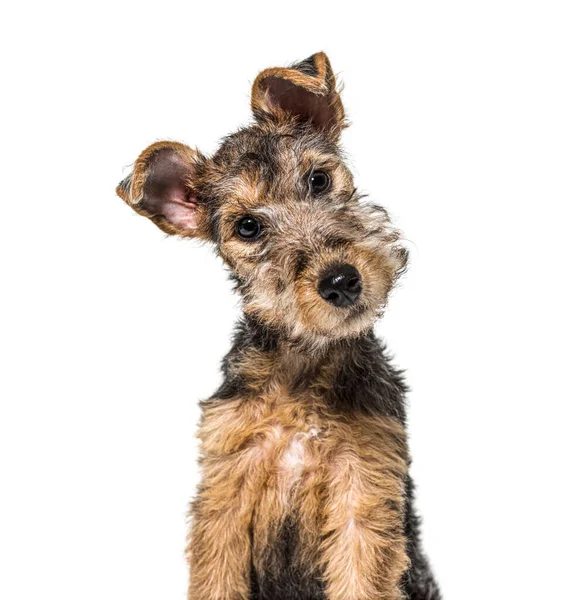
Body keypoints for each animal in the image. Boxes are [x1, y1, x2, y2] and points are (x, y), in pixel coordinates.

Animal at [116, 50, 440, 600]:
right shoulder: (226, 486)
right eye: (248, 227)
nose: (340, 281)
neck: (303, 365)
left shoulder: (364, 486)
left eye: (318, 180)